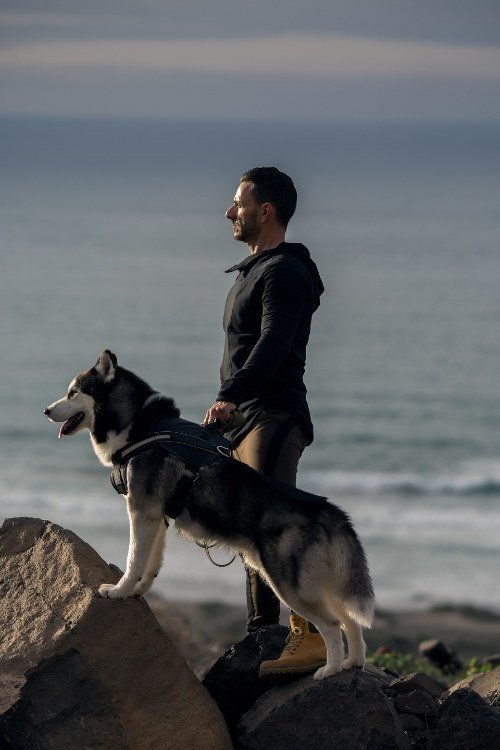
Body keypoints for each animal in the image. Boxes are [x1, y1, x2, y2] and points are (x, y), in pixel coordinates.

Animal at [46, 352, 376, 680]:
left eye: (73, 392)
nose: (46, 410)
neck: (140, 427)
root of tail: (328, 510)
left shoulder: (141, 511)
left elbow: (134, 559)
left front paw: (119, 591)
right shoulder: (155, 518)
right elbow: (150, 565)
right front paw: (138, 591)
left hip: (290, 584)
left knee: (332, 625)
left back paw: (330, 669)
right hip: (322, 583)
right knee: (351, 621)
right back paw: (354, 662)